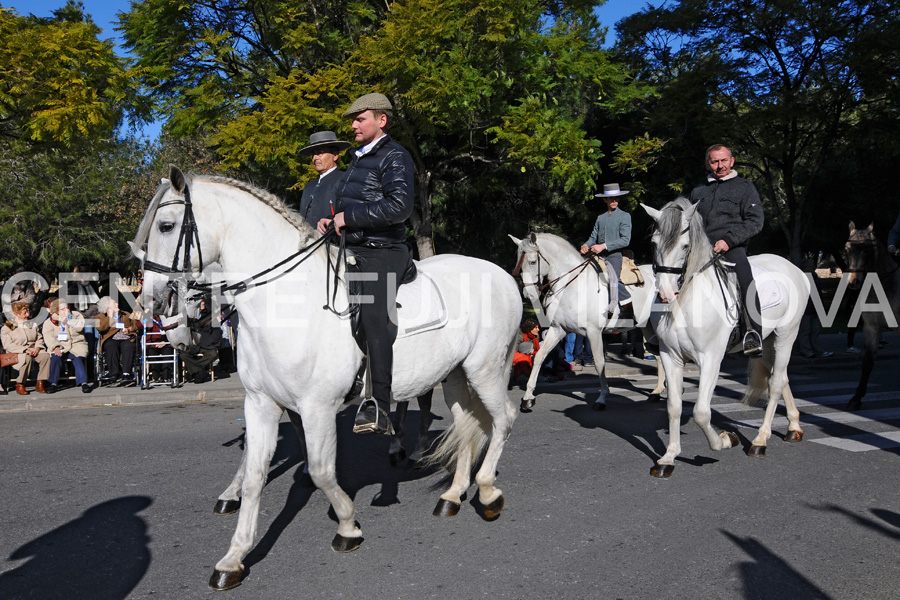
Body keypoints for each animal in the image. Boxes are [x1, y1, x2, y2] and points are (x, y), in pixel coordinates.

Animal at [132, 166, 520, 588]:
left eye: (166, 226)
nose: (150, 303)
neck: (284, 302)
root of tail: (502, 274)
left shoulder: (317, 407)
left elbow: (320, 470)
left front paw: (347, 526)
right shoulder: (262, 404)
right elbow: (255, 474)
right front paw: (234, 557)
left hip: (485, 369)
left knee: (503, 418)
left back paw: (487, 493)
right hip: (455, 375)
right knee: (467, 426)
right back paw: (452, 496)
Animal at [510, 234, 664, 412]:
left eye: (533, 262)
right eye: (518, 262)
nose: (528, 294)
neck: (572, 286)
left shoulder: (594, 332)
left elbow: (599, 363)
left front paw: (602, 398)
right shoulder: (557, 330)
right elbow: (540, 357)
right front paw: (528, 398)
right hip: (647, 326)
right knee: (658, 355)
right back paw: (657, 392)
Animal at [644, 198, 812, 478]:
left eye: (685, 245)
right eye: (655, 243)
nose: (666, 293)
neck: (687, 300)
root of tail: (793, 268)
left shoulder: (710, 359)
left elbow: (701, 412)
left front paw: (725, 440)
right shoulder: (670, 356)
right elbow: (674, 406)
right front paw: (669, 458)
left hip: (786, 335)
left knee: (776, 383)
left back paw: (760, 440)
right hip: (767, 343)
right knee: (781, 377)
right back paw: (793, 427)